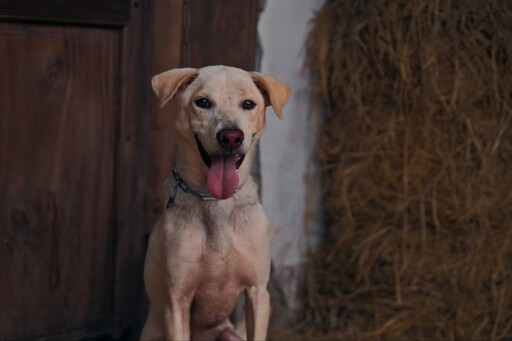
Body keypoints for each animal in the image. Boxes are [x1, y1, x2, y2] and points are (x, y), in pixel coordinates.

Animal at [140, 64, 290, 340]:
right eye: (203, 102)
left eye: (249, 104)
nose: (231, 137)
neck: (216, 200)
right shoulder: (177, 302)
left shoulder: (258, 293)